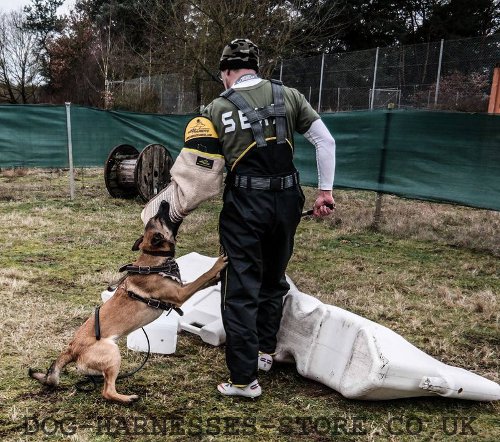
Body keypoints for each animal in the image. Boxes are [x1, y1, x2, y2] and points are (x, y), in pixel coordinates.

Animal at [28, 201, 228, 404]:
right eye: (159, 218)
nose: (164, 202)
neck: (154, 259)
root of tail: (72, 349)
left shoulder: (181, 289)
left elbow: (204, 282)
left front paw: (218, 277)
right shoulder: (180, 294)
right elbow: (202, 277)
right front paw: (218, 265)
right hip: (113, 354)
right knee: (107, 391)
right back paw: (127, 398)